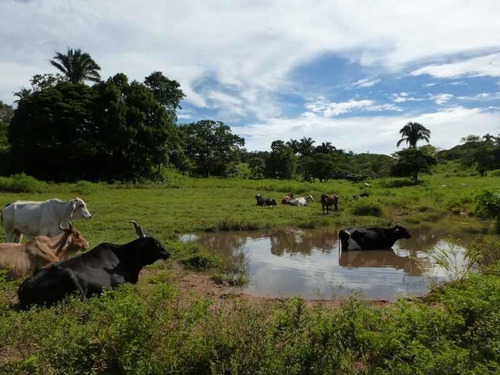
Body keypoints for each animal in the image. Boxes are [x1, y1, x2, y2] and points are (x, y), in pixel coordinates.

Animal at [18, 220, 170, 308]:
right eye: (155, 244)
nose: (167, 253)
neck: (124, 258)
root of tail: (22, 287)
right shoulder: (120, 284)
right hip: (70, 277)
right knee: (83, 301)